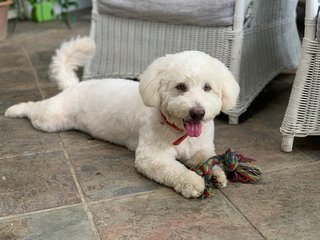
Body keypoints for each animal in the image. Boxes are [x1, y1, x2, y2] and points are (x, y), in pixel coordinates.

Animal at [5, 37, 239, 198]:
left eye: (207, 87)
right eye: (181, 87)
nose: (197, 112)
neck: (179, 131)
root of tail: (74, 85)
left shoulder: (202, 150)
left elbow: (210, 159)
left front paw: (217, 174)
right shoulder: (151, 157)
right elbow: (176, 170)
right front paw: (193, 183)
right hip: (49, 120)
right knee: (34, 108)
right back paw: (14, 109)